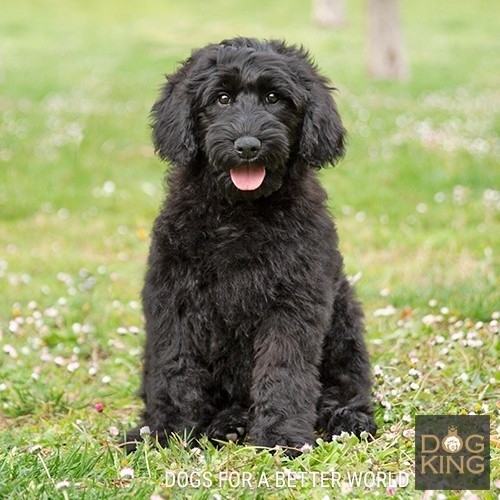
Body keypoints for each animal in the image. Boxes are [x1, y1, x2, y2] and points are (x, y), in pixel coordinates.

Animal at [124, 38, 376, 454]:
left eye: (274, 98)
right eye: (222, 98)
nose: (247, 147)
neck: (239, 212)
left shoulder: (294, 299)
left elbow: (284, 370)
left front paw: (281, 437)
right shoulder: (175, 298)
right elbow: (175, 367)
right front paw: (166, 432)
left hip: (343, 318)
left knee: (348, 382)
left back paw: (347, 419)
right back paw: (228, 424)